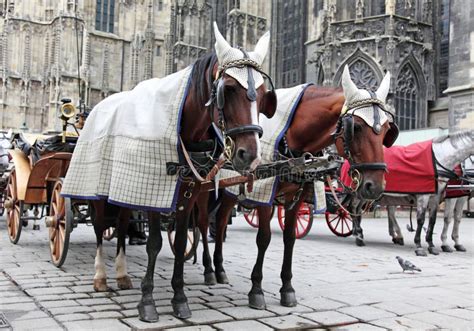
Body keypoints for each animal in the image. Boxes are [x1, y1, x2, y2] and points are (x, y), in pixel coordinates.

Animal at [63, 24, 278, 324]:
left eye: (262, 92)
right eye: (228, 89)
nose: (250, 154)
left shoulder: (187, 192)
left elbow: (178, 241)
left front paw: (179, 298)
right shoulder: (154, 190)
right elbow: (154, 243)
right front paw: (148, 302)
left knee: (121, 225)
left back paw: (122, 274)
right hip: (97, 187)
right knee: (98, 226)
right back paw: (101, 277)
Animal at [194, 65, 398, 312]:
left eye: (387, 130)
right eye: (356, 127)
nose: (375, 186)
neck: (292, 140)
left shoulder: (296, 197)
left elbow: (290, 239)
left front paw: (287, 288)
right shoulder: (265, 194)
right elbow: (263, 238)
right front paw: (256, 290)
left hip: (229, 193)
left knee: (222, 220)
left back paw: (220, 269)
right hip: (205, 189)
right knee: (204, 223)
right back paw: (208, 269)